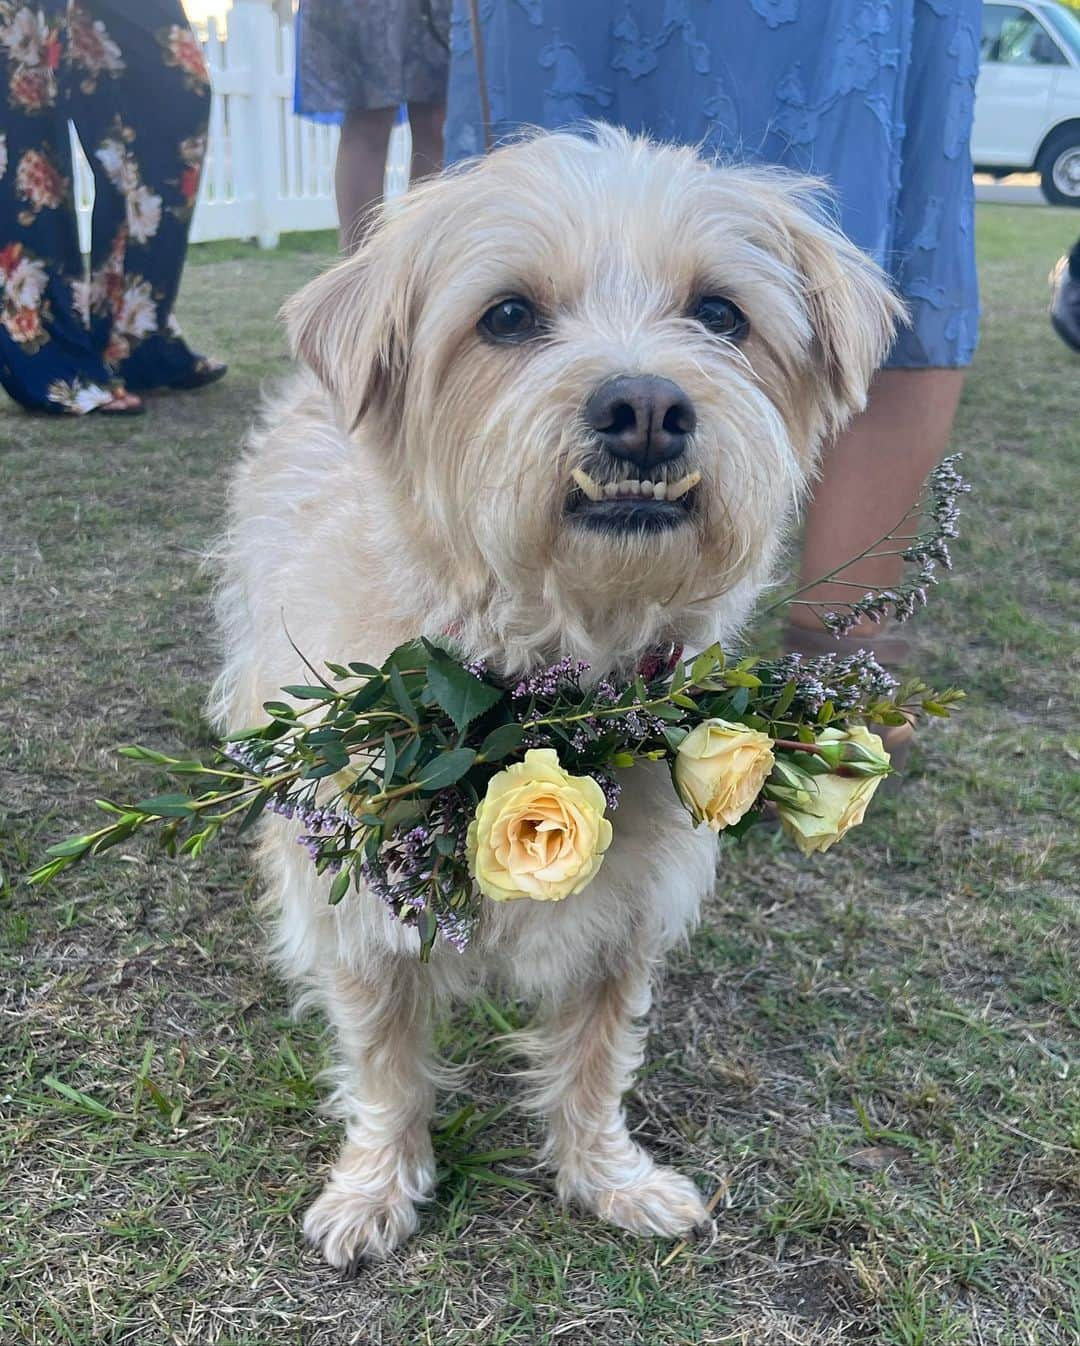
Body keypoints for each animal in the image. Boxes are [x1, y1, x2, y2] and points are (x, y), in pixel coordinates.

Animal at [210, 128, 894, 1270]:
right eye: (508, 316)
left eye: (721, 314)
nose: (646, 407)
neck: (540, 679)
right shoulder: (357, 907)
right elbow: (383, 1058)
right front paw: (376, 1184)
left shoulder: (626, 911)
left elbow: (597, 1052)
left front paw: (606, 1176)